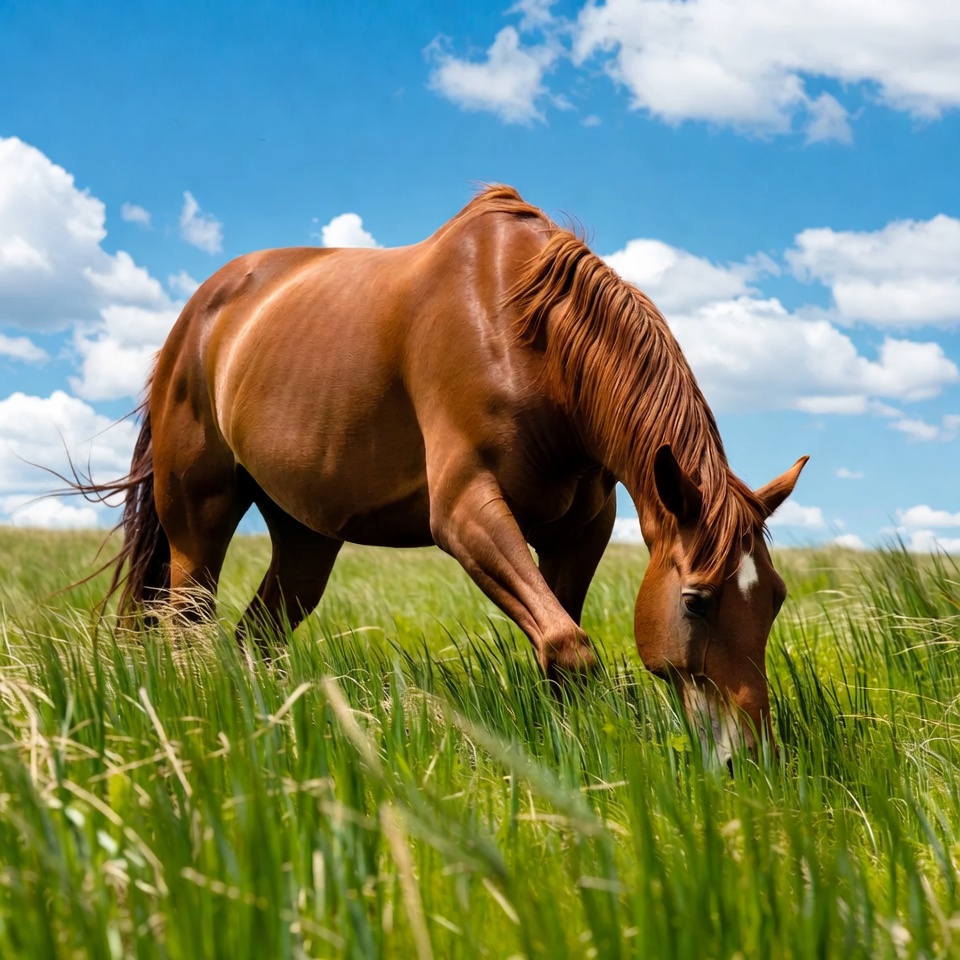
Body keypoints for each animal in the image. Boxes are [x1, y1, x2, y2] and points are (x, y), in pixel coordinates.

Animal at [80, 185, 806, 764]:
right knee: (185, 626)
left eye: (775, 598)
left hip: (305, 537)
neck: (527, 337)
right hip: (197, 520)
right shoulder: (463, 512)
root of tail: (194, 319)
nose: (752, 758)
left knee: (253, 639)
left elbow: (559, 646)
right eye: (696, 601)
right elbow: (569, 646)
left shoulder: (582, 529)